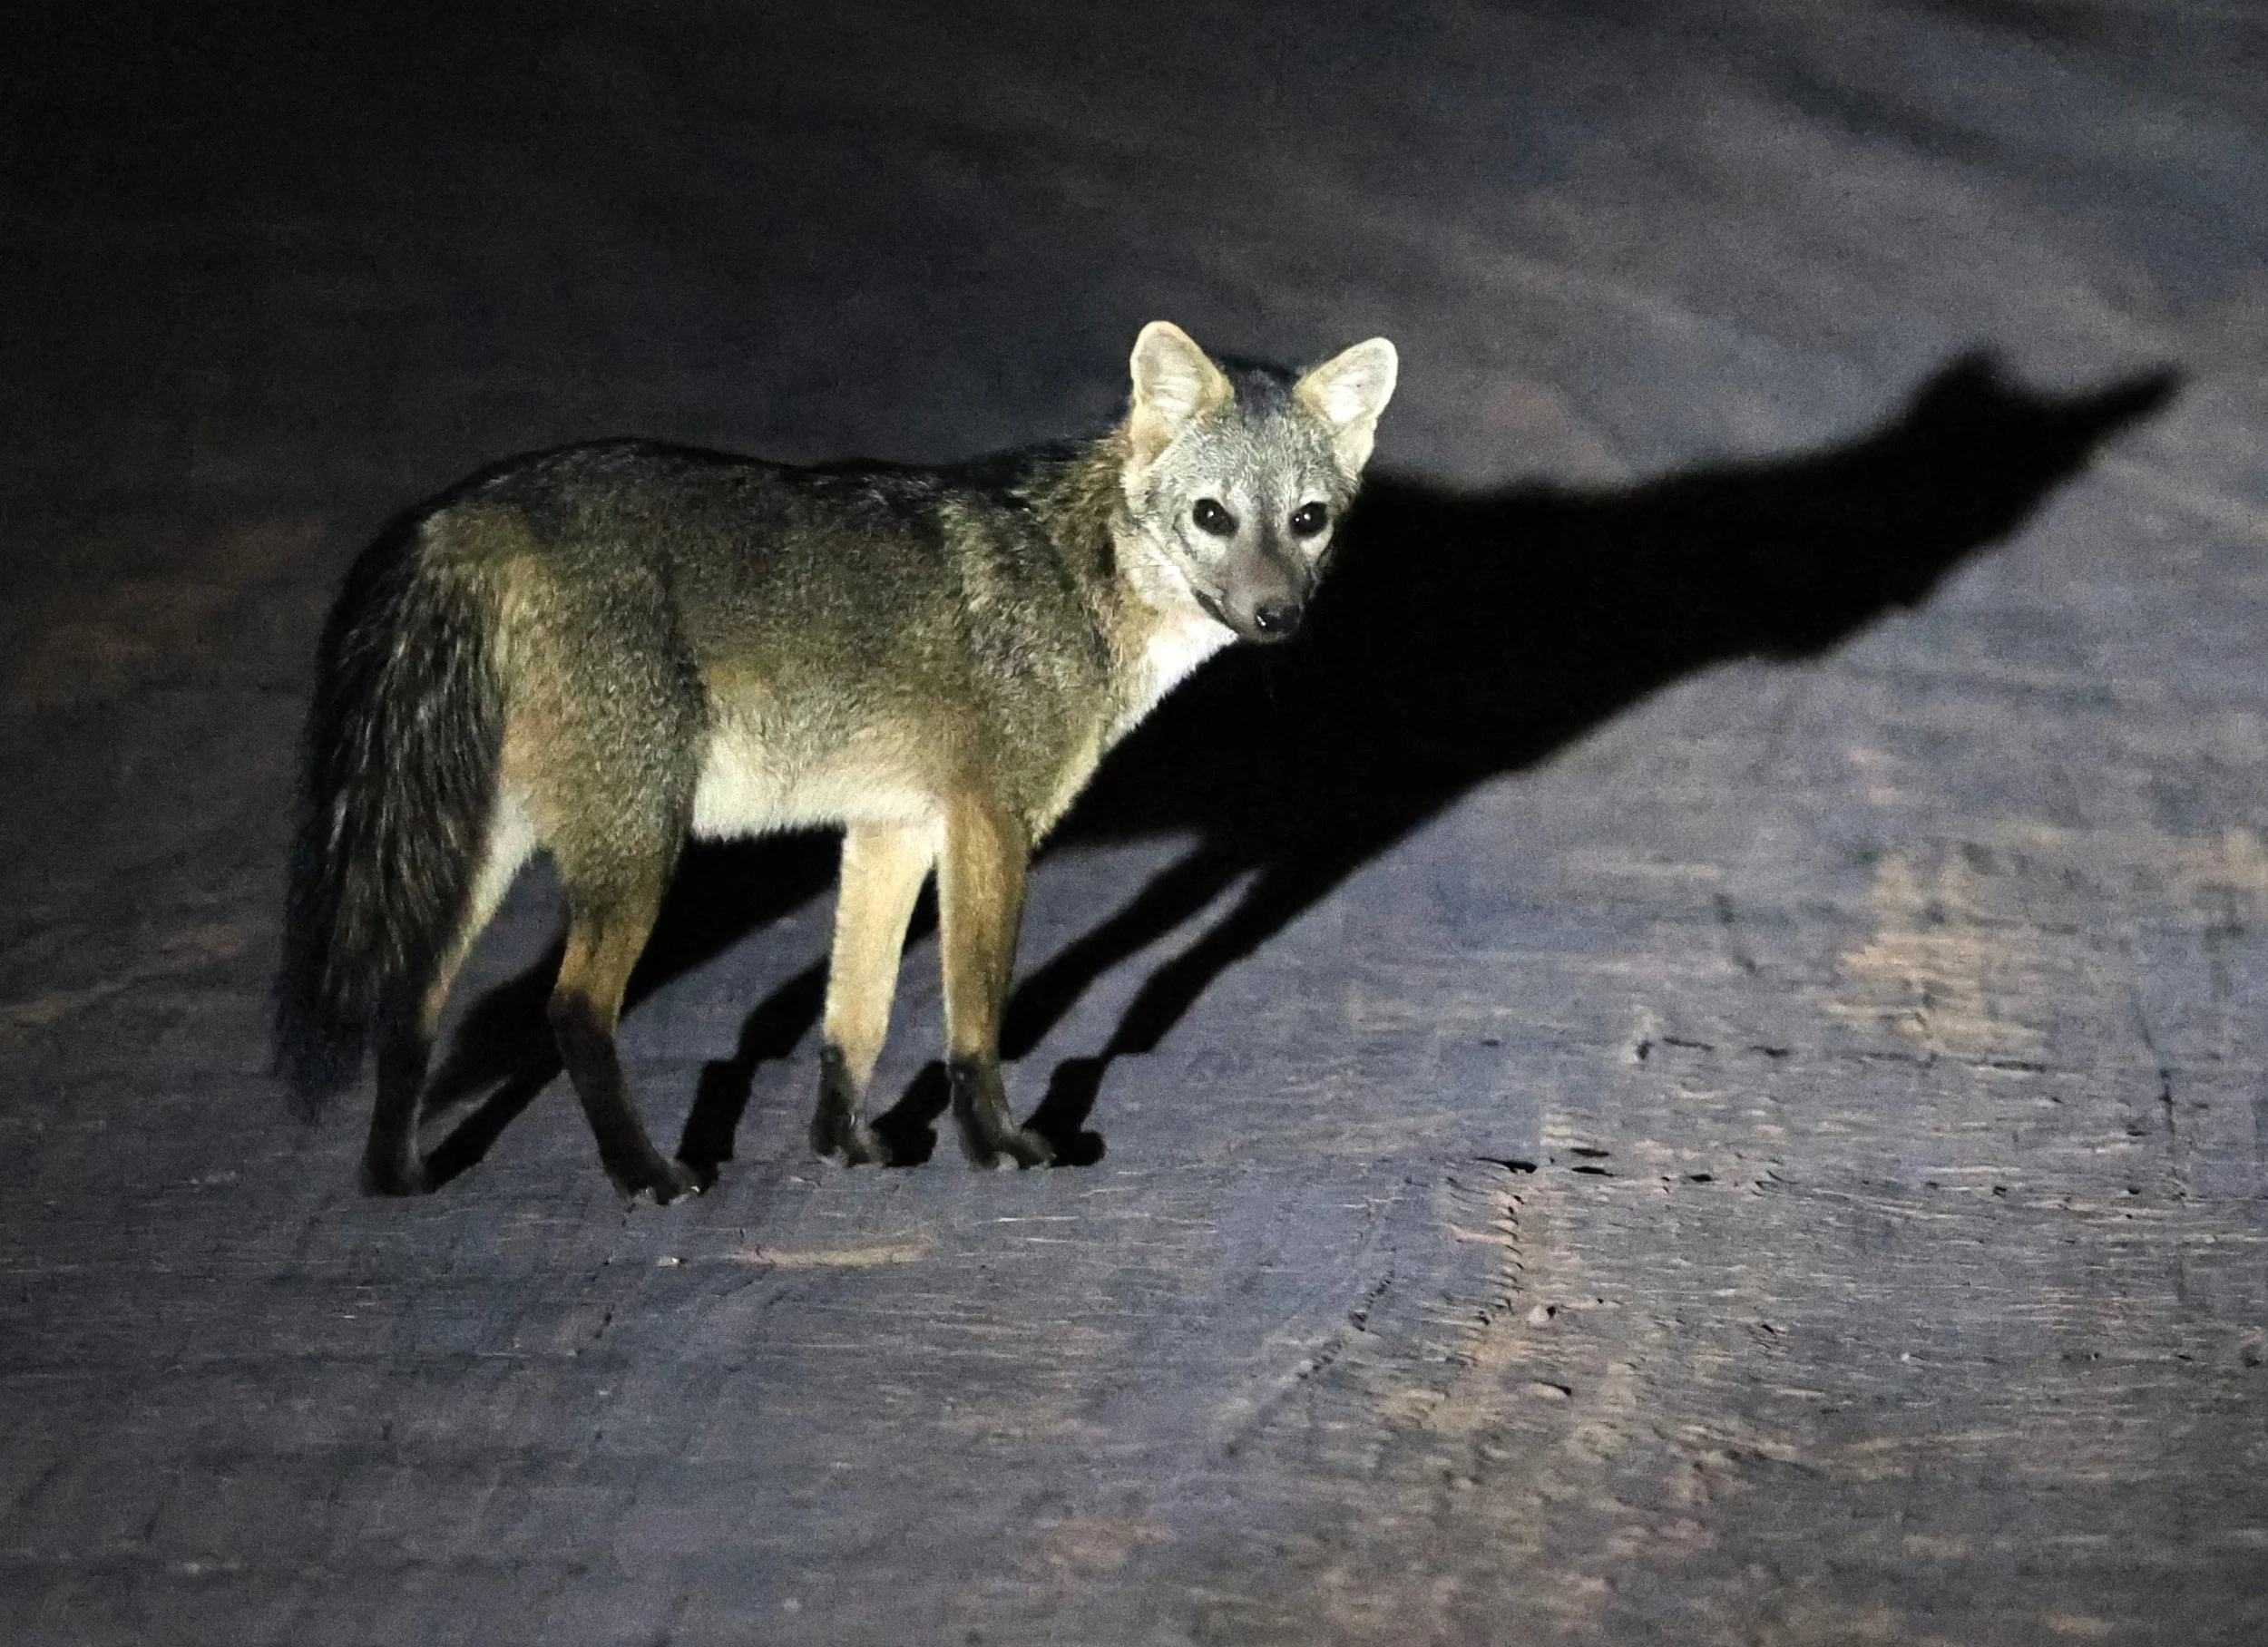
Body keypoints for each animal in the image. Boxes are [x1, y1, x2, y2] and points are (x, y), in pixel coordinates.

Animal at [273, 322, 1398, 1200]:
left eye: (1307, 521)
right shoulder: (990, 822)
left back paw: (396, 1177)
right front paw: (996, 1145)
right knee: (571, 1009)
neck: (1081, 574)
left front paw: (842, 1145)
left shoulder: (891, 825)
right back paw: (647, 1176)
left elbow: (853, 1016)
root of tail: (469, 513)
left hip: (489, 853)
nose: (1277, 617)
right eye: (1212, 517)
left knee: (410, 1006)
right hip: (637, 851)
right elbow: (974, 1012)